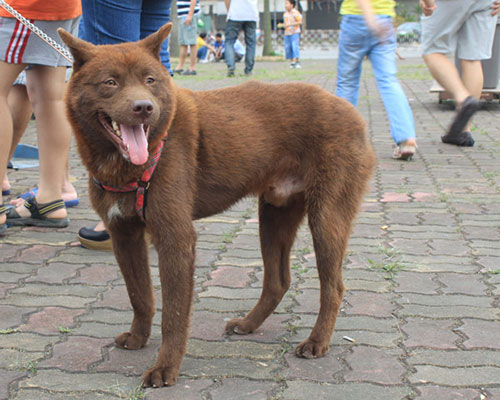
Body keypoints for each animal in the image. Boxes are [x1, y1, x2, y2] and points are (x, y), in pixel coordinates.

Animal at [58, 22, 376, 388]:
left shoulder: (176, 238)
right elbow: (140, 295)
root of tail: (353, 113)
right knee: (278, 281)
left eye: (150, 80)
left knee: (333, 286)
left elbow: (174, 314)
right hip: (274, 213)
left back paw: (316, 342)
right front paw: (138, 337)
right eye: (110, 82)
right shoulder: (124, 234)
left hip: (326, 216)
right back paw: (248, 324)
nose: (143, 107)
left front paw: (166, 368)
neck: (127, 165)